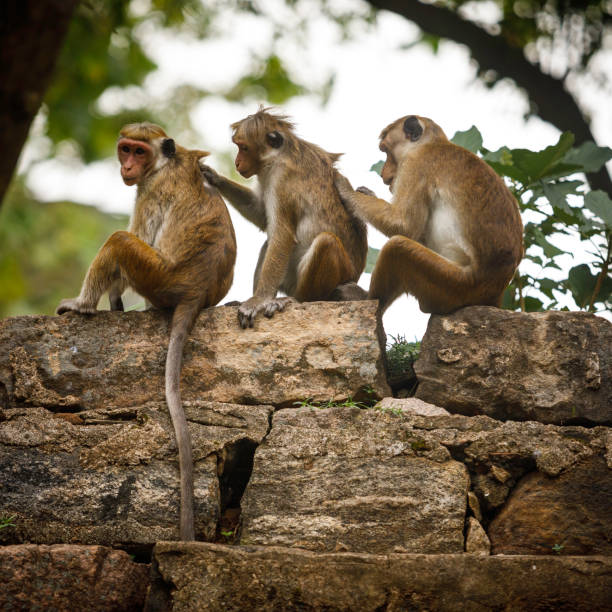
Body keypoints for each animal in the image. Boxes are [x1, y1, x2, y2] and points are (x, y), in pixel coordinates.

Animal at [56, 120, 237, 540]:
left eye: (139, 151)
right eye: (125, 148)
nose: (127, 166)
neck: (164, 163)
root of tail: (197, 290)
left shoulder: (151, 191)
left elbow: (140, 235)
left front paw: (100, 299)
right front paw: (114, 301)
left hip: (159, 278)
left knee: (122, 240)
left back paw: (85, 303)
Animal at [201, 107, 366, 328]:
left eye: (244, 148)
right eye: (238, 146)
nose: (237, 163)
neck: (278, 156)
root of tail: (355, 278)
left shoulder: (282, 179)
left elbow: (282, 235)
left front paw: (257, 301)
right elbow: (260, 214)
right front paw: (213, 177)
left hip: (339, 277)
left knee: (325, 241)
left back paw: (298, 300)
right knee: (268, 244)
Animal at [334, 115, 520, 316]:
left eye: (386, 150)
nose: (384, 175)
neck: (432, 143)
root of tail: (494, 291)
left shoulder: (415, 164)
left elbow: (404, 225)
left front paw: (347, 191)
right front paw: (367, 194)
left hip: (455, 284)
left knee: (397, 247)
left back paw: (368, 298)